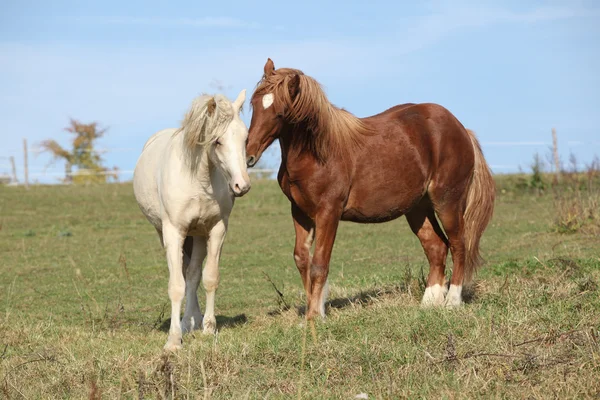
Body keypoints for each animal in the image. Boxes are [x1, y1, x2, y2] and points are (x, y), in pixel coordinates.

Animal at [134, 90, 251, 350]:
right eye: (217, 141)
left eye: (245, 138)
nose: (242, 185)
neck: (199, 179)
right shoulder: (173, 231)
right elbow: (176, 285)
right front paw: (173, 340)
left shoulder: (217, 229)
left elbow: (209, 278)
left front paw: (208, 328)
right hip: (169, 234)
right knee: (185, 273)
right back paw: (186, 323)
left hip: (197, 236)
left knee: (193, 273)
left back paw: (192, 320)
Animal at [246, 58, 494, 318]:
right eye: (253, 105)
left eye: (280, 113)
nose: (249, 155)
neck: (318, 153)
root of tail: (461, 129)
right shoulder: (300, 212)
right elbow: (302, 259)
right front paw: (313, 310)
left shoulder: (329, 212)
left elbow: (319, 263)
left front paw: (316, 315)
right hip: (418, 208)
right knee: (437, 247)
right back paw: (429, 303)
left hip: (448, 202)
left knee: (458, 245)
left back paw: (452, 301)